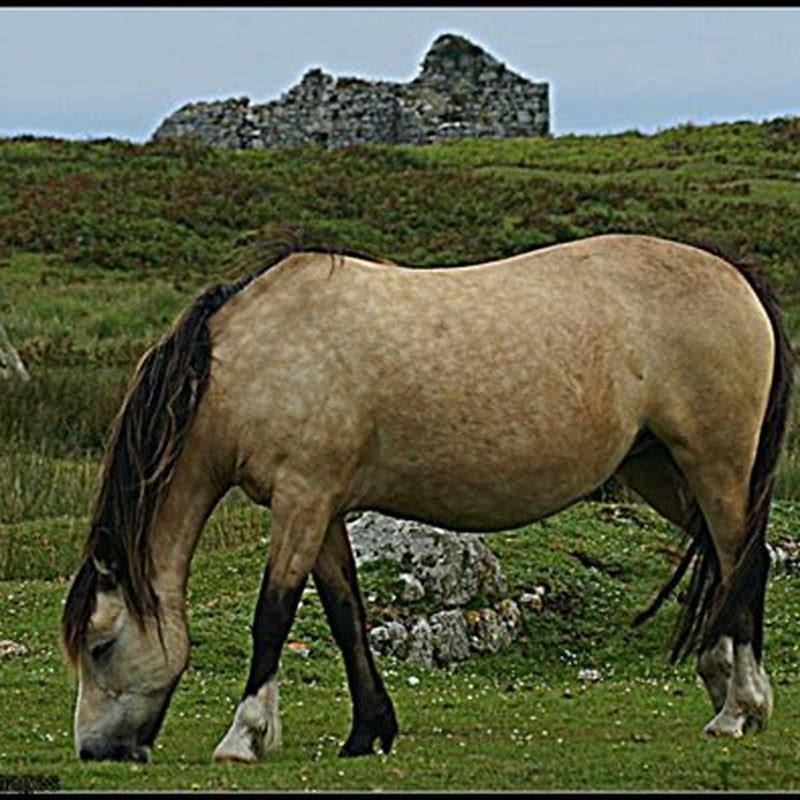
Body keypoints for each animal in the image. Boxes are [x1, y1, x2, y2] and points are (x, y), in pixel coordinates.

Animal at [61, 233, 793, 764]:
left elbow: (272, 616)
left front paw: (244, 736)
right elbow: (346, 614)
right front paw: (368, 732)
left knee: (746, 562)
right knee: (733, 567)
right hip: (663, 472)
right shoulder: (323, 508)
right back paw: (726, 686)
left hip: (716, 467)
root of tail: (737, 277)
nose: (96, 751)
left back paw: (740, 709)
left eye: (100, 646)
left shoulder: (301, 499)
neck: (251, 358)